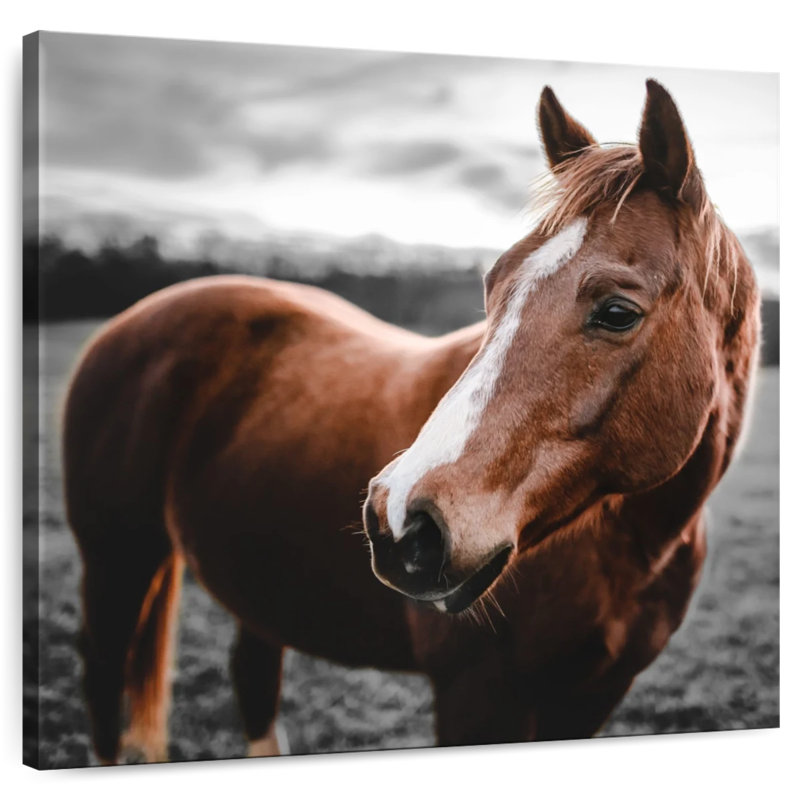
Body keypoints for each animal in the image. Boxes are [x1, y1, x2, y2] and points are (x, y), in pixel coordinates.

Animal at [63, 80, 760, 764]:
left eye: (617, 312)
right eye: (493, 284)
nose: (397, 521)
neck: (631, 546)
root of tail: (129, 323)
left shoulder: (592, 697)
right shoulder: (475, 697)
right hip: (116, 561)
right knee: (103, 681)